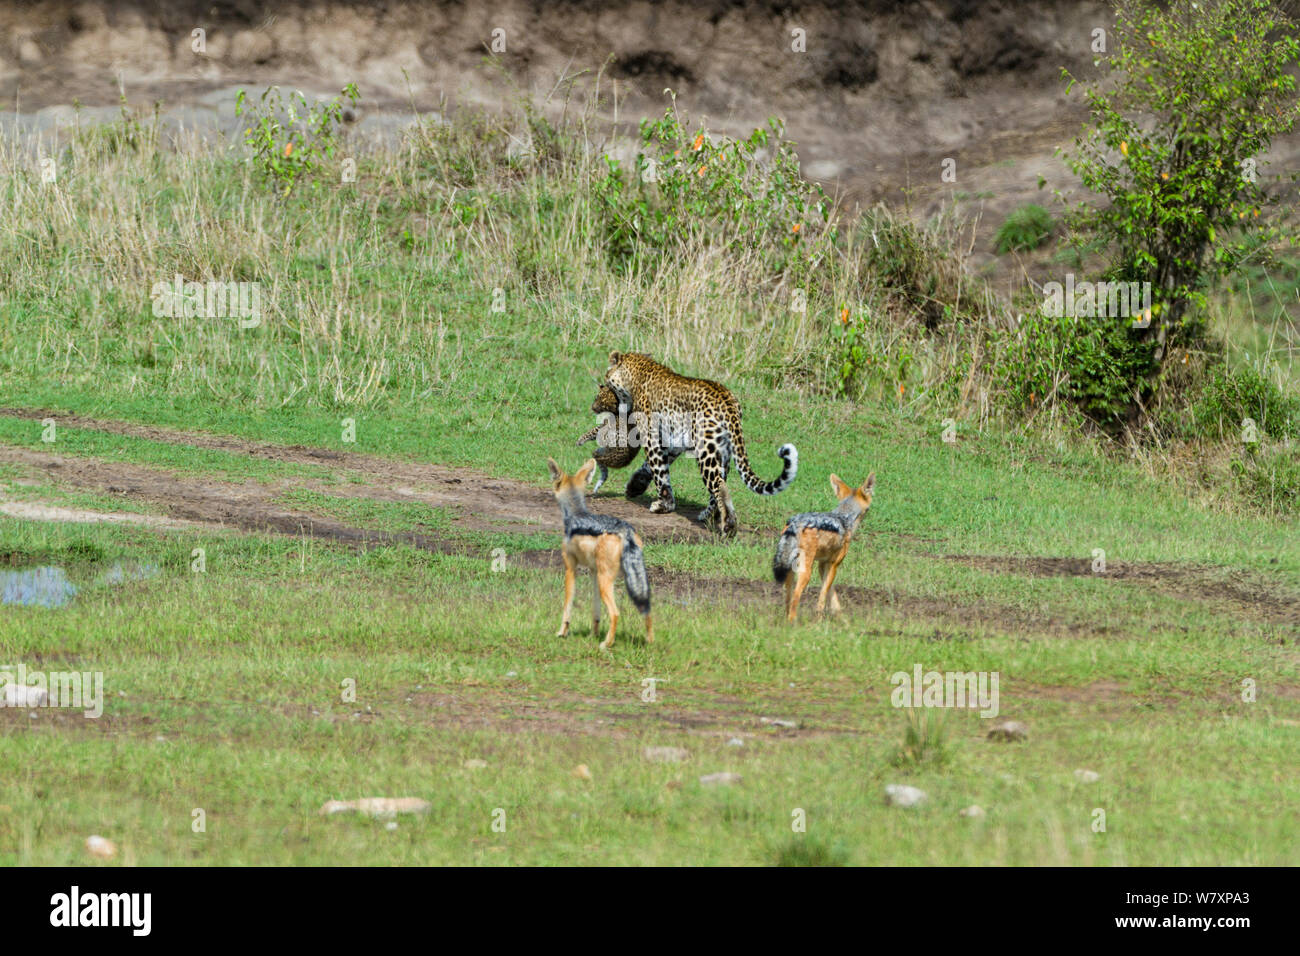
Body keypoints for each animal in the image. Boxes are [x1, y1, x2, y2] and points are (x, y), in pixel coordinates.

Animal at [595, 351, 790, 535]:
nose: (603, 386)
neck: (635, 378)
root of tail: (728, 402)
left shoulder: (651, 436)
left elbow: (658, 470)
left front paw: (663, 505)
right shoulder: (672, 441)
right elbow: (655, 468)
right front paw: (636, 486)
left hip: (706, 450)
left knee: (719, 486)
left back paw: (728, 526)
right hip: (722, 450)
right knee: (721, 481)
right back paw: (708, 515)